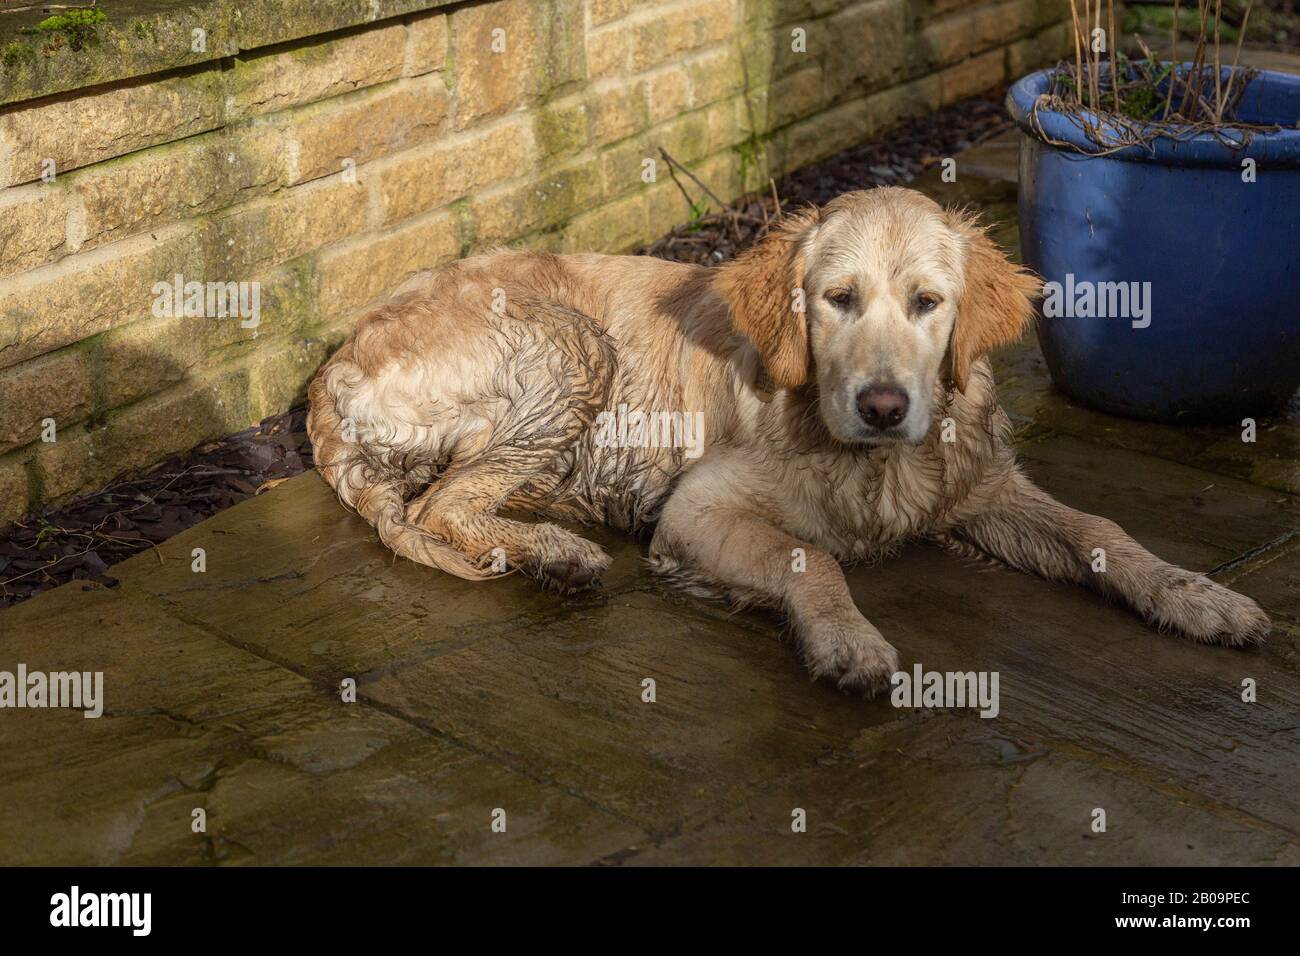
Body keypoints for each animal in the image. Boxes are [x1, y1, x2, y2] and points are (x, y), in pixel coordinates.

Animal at [306, 187, 1268, 697]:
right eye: (836, 299)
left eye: (927, 303)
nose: (882, 406)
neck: (871, 460)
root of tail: (333, 364)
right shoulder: (696, 511)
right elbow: (816, 558)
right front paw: (847, 641)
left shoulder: (978, 485)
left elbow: (1101, 532)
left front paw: (1197, 596)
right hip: (574, 344)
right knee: (444, 502)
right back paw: (557, 552)